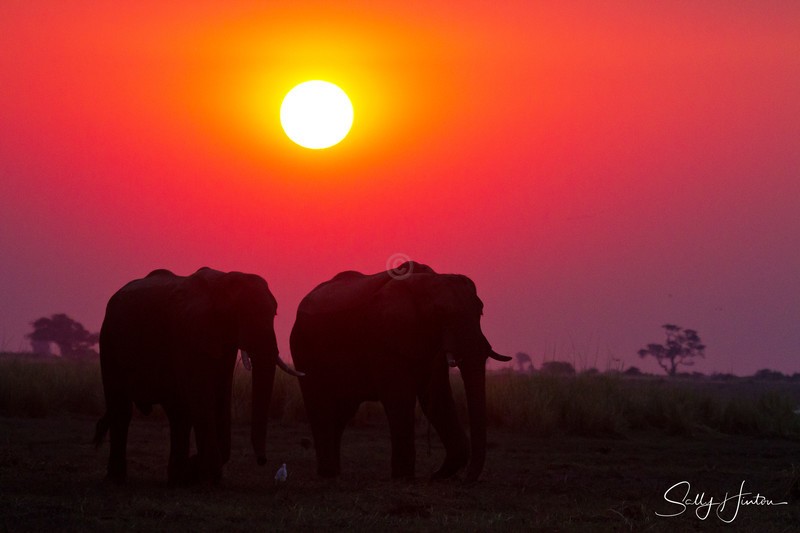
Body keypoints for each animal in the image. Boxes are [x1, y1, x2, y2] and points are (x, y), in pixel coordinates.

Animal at [94, 267, 302, 484]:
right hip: (108, 342)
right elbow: (202, 396)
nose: (262, 460)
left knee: (178, 414)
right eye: (243, 315)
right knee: (121, 409)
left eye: (274, 314)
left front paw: (195, 469)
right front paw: (205, 474)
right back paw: (117, 479)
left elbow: (221, 394)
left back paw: (177, 478)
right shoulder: (189, 333)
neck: (222, 283)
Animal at [290, 261, 511, 481]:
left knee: (343, 410)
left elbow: (437, 397)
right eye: (440, 313)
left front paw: (439, 475)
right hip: (302, 348)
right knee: (320, 404)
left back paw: (333, 472)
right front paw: (404, 477)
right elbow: (400, 396)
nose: (465, 480)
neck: (426, 280)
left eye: (480, 312)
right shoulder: (384, 337)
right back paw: (327, 473)